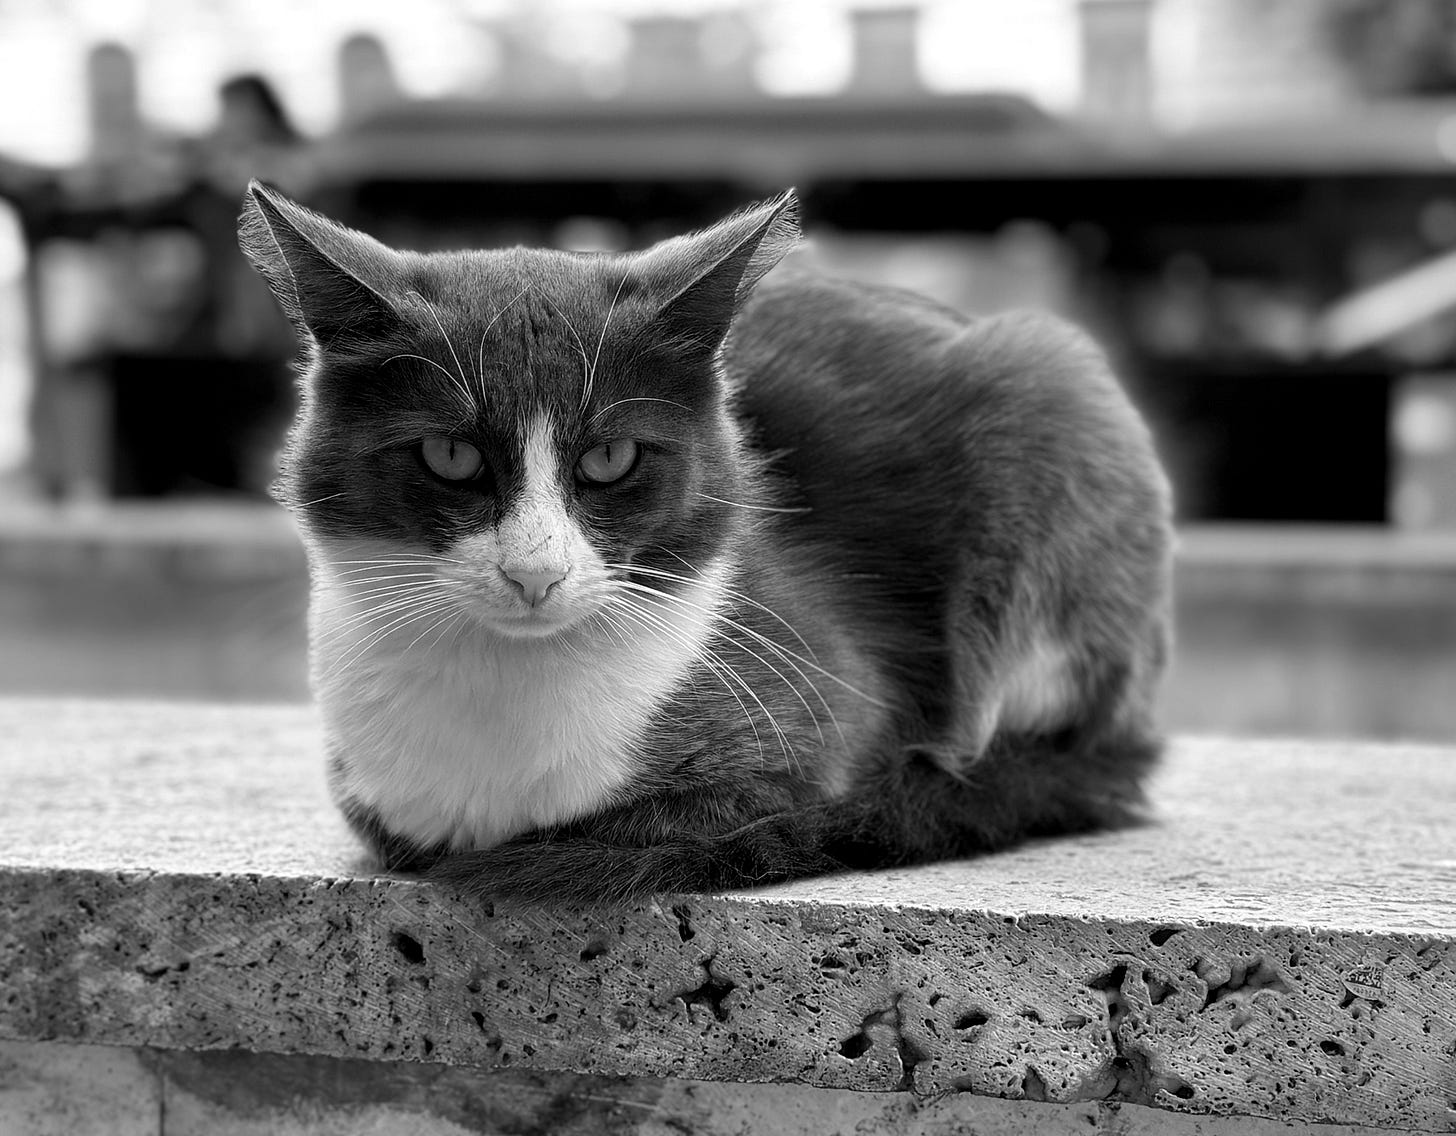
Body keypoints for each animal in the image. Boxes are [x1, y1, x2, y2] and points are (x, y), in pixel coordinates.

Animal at [239, 182, 1173, 904]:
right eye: (450, 455)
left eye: (610, 458)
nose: (535, 574)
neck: (504, 683)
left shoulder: (826, 698)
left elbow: (692, 814)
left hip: (1050, 398)